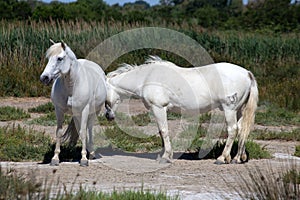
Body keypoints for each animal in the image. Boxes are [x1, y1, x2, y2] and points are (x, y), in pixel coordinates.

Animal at [105, 55, 258, 164]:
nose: (108, 116)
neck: (146, 78)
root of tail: (246, 73)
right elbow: (162, 132)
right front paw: (165, 154)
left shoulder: (158, 108)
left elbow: (164, 131)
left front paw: (165, 157)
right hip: (239, 109)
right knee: (242, 129)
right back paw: (237, 158)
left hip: (229, 109)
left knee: (232, 130)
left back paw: (221, 158)